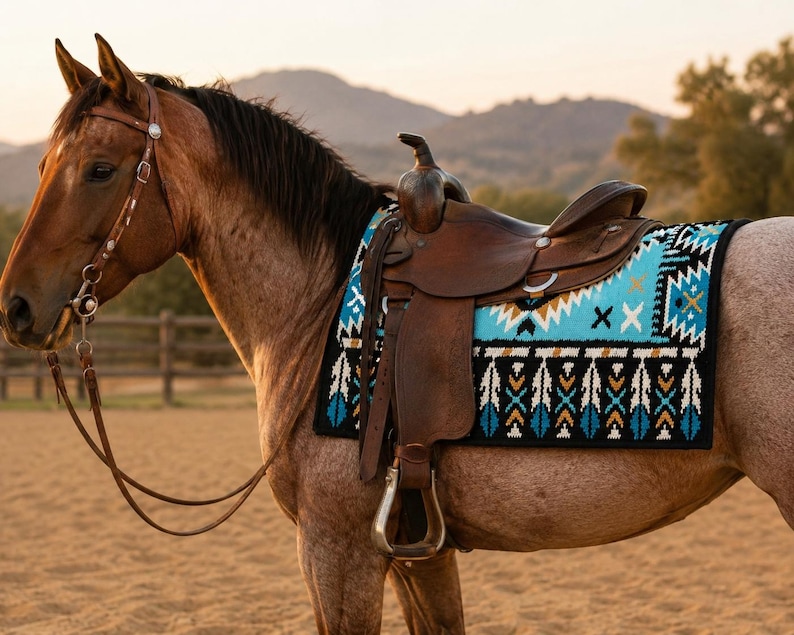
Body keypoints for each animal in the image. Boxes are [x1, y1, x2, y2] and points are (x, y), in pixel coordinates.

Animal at [2, 34, 794, 634]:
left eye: (100, 169)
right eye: (41, 165)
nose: (16, 307)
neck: (319, 303)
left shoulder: (339, 550)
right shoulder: (419, 549)